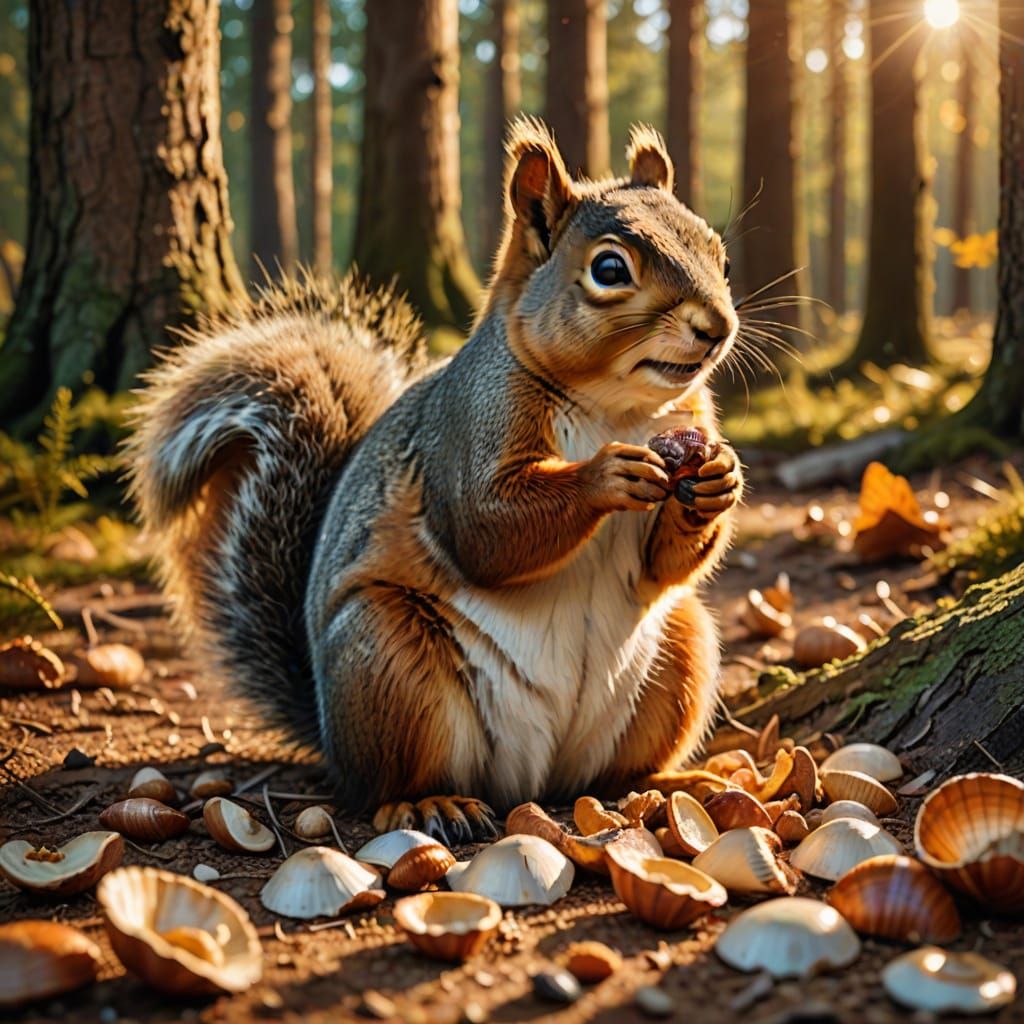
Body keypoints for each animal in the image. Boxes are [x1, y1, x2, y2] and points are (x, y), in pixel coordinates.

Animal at [127, 119, 743, 843]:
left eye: (719, 253)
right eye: (610, 269)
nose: (718, 327)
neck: (616, 408)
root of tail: (534, 778)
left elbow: (662, 563)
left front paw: (719, 481)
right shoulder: (468, 428)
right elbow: (486, 529)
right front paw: (605, 475)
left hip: (681, 652)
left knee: (617, 769)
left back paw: (669, 781)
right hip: (389, 662)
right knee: (384, 784)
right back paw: (427, 804)